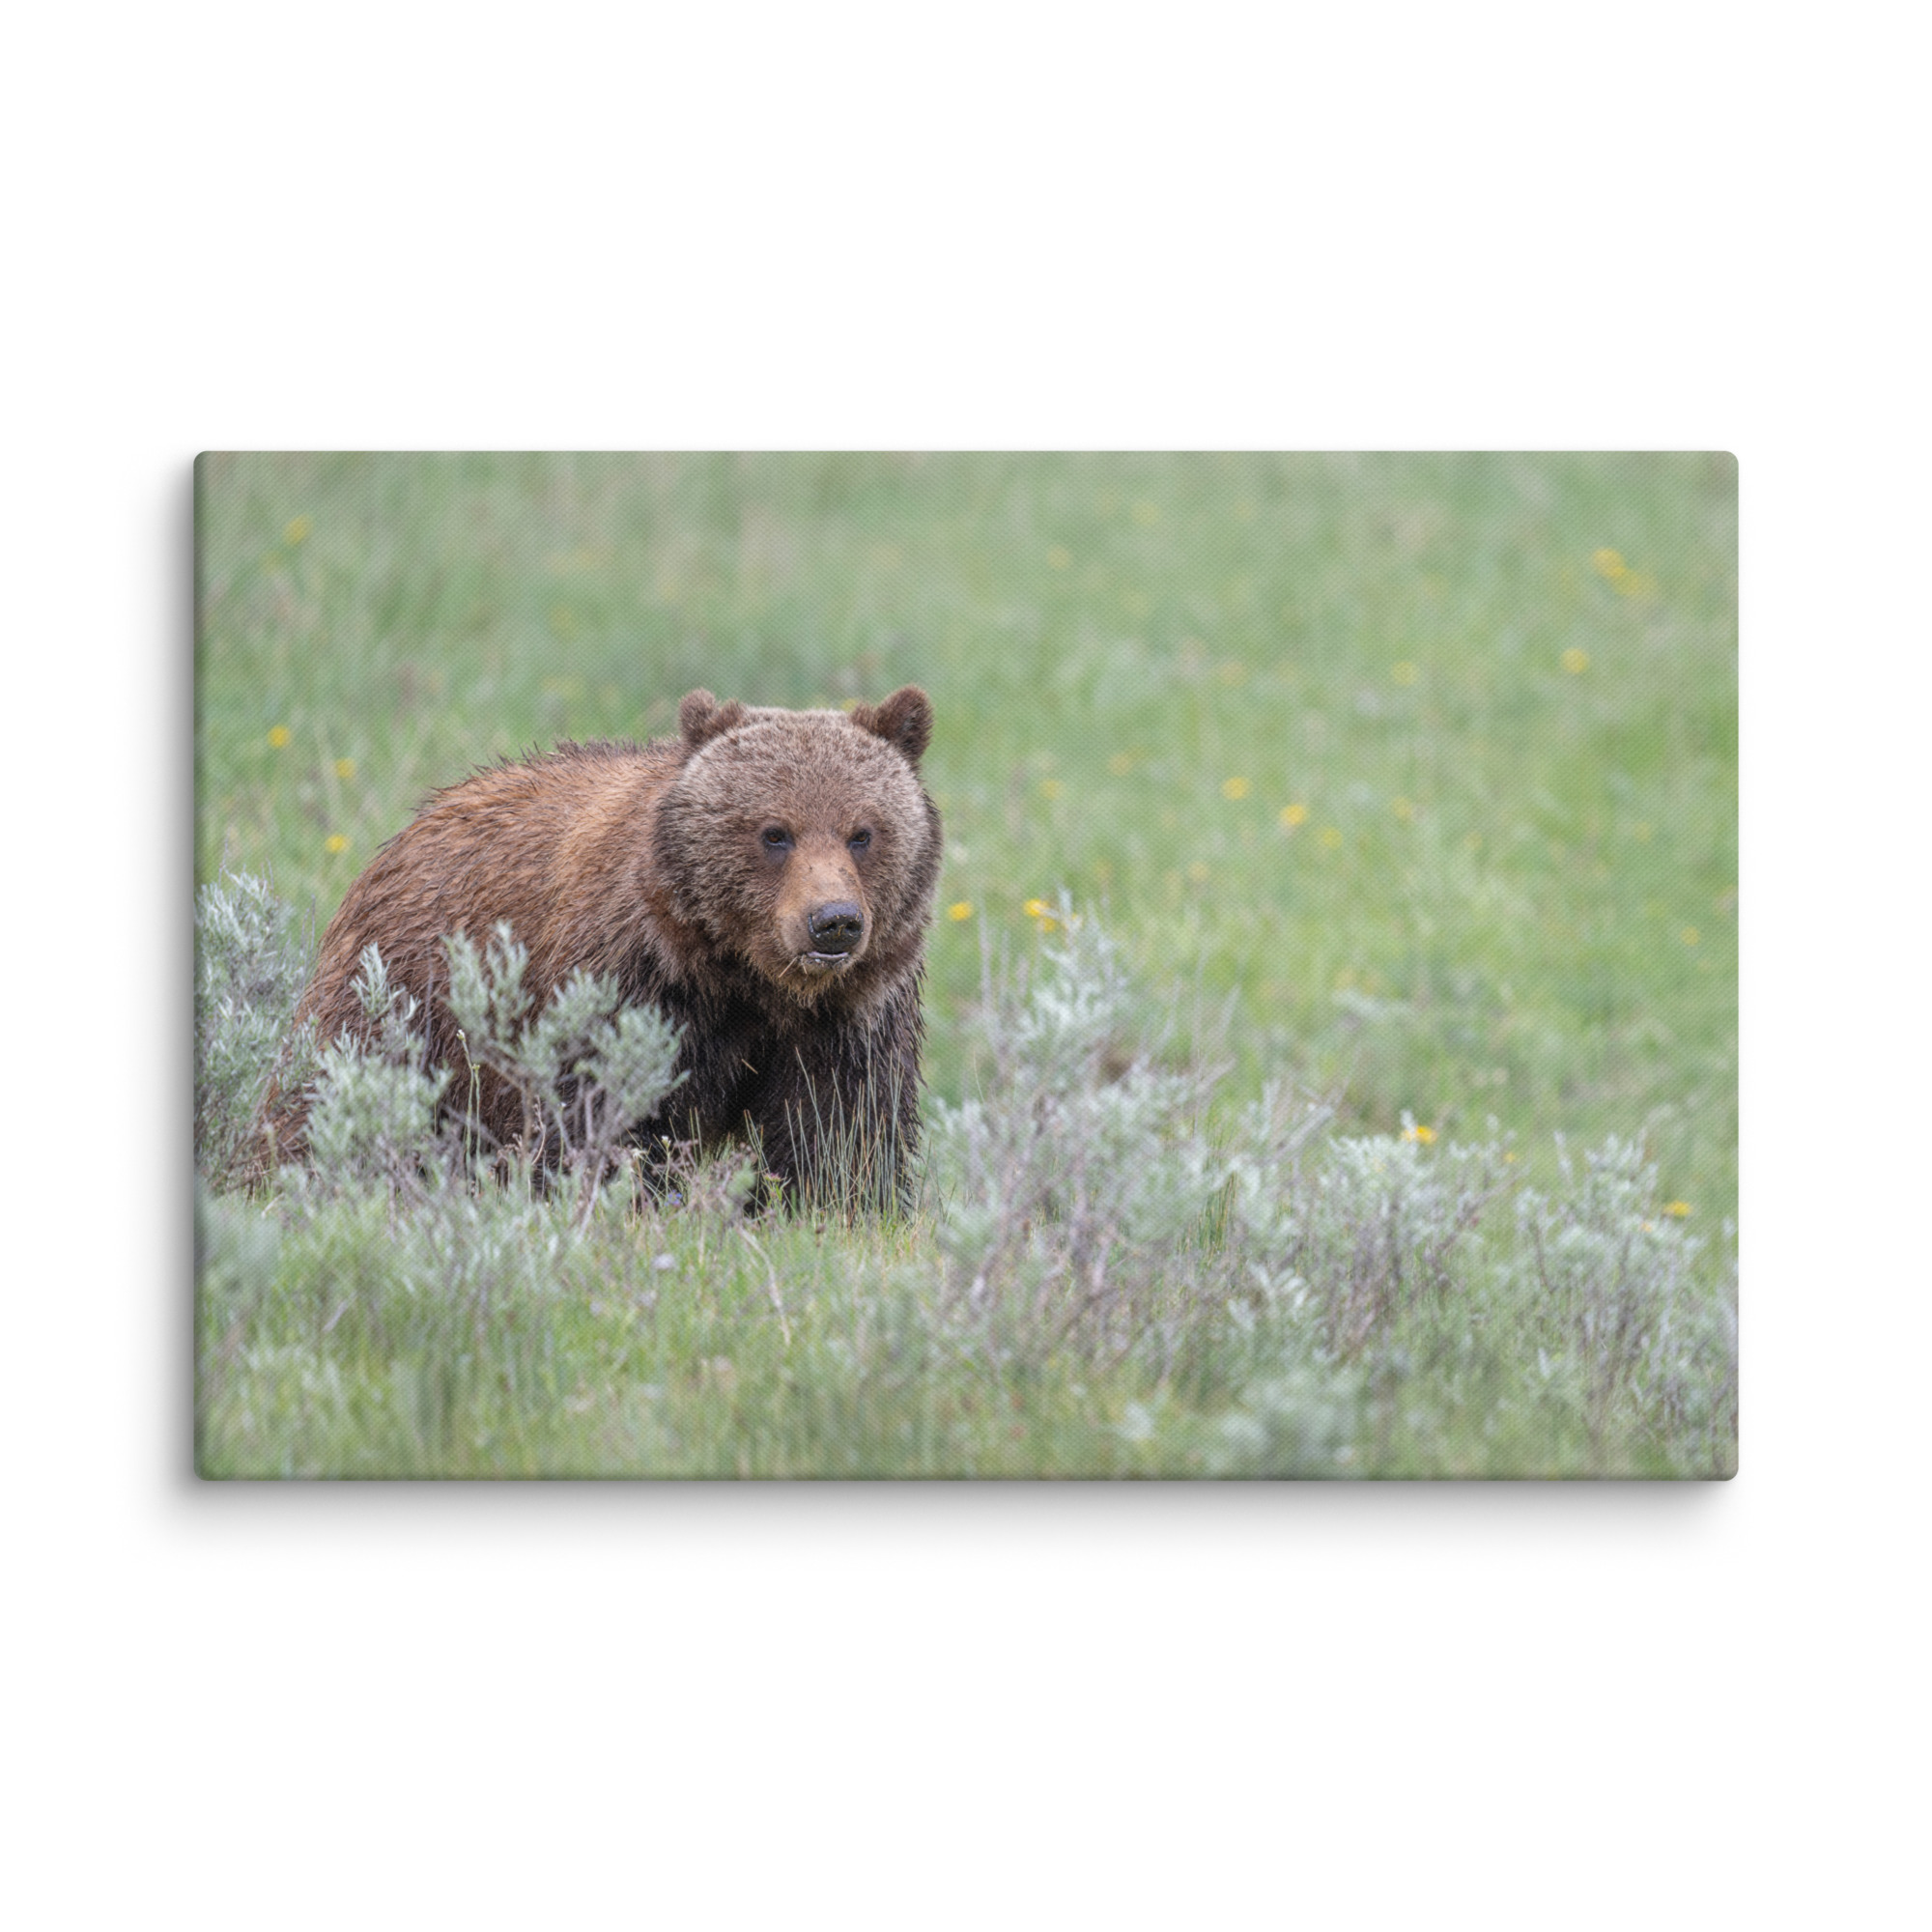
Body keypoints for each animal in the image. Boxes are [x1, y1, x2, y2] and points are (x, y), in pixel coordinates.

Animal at [262, 686, 940, 1209]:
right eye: (775, 832)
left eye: (863, 833)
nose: (833, 922)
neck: (746, 978)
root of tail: (407, 829)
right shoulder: (630, 984)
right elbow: (600, 1114)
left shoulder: (849, 1015)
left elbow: (840, 1132)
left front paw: (832, 1207)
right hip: (402, 995)